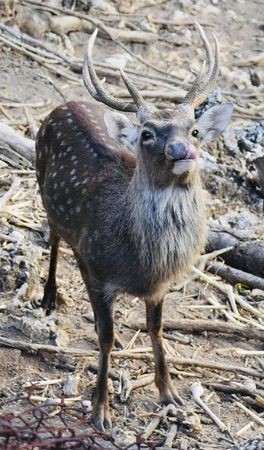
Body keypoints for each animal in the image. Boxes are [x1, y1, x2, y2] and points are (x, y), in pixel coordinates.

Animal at [35, 24, 233, 432]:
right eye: (146, 133)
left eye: (194, 130)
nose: (181, 150)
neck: (142, 262)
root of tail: (63, 105)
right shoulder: (97, 273)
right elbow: (106, 338)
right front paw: (100, 410)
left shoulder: (161, 286)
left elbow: (156, 329)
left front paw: (170, 394)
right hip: (40, 179)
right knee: (55, 235)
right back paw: (48, 297)